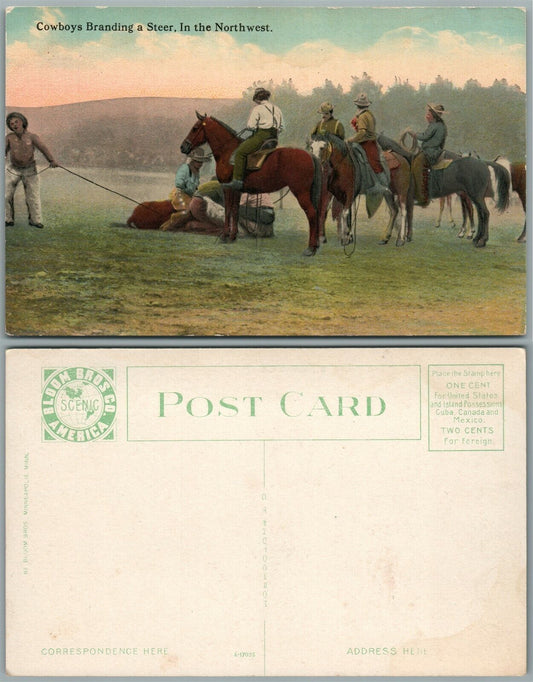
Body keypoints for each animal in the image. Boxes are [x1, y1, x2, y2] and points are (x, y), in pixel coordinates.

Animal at [181, 112, 324, 255]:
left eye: (195, 128)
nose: (183, 147)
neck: (228, 151)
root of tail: (310, 155)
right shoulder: (237, 190)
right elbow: (235, 211)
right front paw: (233, 236)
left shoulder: (227, 188)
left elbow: (228, 210)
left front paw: (225, 236)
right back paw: (315, 245)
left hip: (300, 192)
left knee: (312, 214)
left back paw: (310, 248)